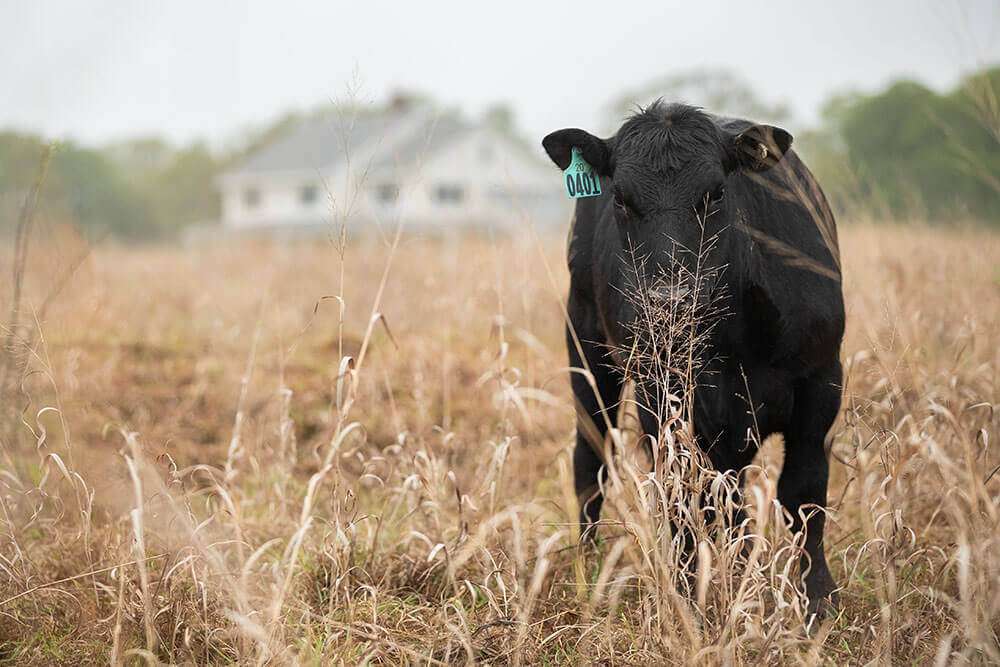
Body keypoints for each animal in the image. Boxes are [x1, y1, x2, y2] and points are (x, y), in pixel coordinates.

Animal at [542, 101, 845, 615]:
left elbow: (804, 494)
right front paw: (688, 600)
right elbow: (680, 496)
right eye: (619, 197)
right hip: (585, 347)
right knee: (592, 457)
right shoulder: (662, 396)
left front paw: (818, 601)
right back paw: (586, 566)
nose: (670, 302)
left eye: (717, 192)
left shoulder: (821, 380)